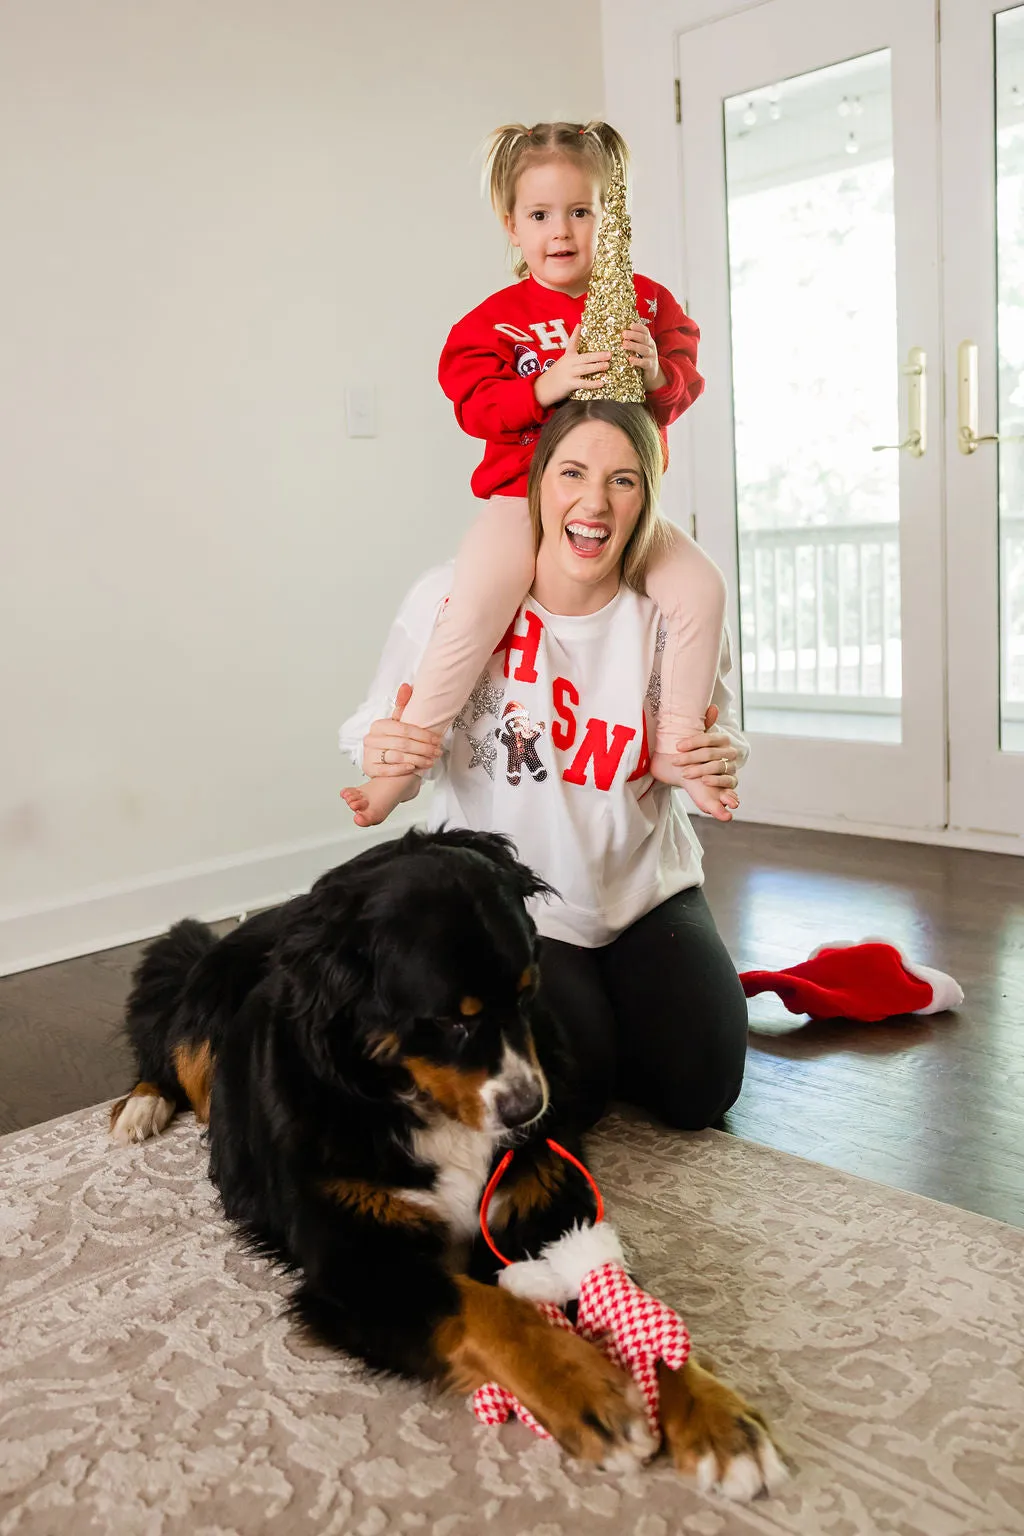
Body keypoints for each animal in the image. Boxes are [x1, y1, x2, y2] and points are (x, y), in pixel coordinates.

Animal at [110, 829, 786, 1499]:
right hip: (201, 1018)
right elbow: (489, 1308)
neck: (420, 1106)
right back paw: (140, 1107)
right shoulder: (357, 1262)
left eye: (529, 990)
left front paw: (716, 1417)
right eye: (446, 1021)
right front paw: (592, 1392)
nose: (530, 1108)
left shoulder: (549, 1207)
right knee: (167, 1058)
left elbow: (620, 1297)